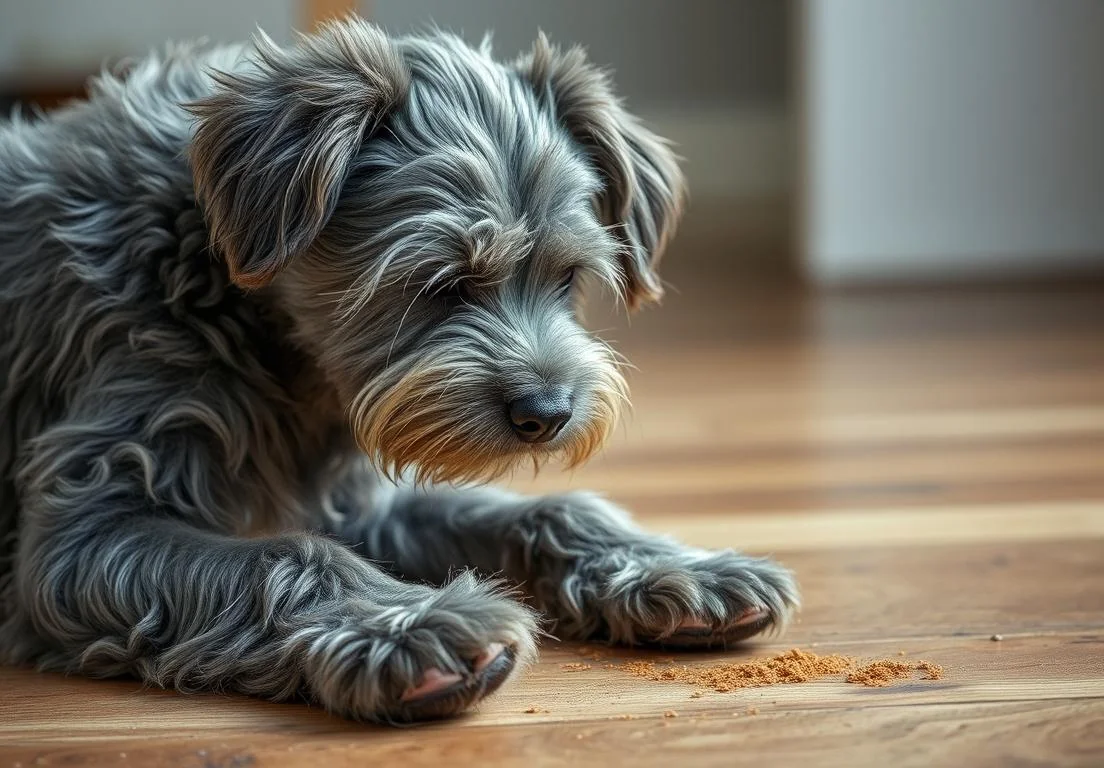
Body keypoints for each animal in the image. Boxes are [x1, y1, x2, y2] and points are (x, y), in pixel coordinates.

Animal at [0, 19, 799, 723]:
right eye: (439, 281)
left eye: (568, 277)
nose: (547, 413)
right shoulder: (82, 534)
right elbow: (288, 554)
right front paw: (415, 628)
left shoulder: (359, 504)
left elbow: (544, 510)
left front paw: (676, 569)